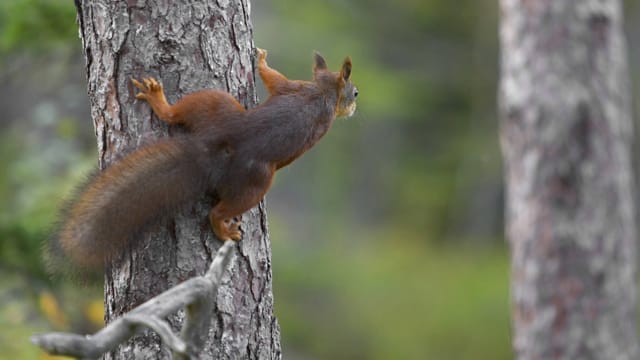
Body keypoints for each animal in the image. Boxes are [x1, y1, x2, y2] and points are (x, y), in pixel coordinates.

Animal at [48, 49, 360, 270]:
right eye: (355, 92)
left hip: (212, 108)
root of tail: (208, 151)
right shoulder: (297, 88)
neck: (324, 92)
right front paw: (261, 59)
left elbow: (274, 80)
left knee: (174, 116)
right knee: (216, 211)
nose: (354, 108)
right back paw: (222, 229)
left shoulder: (297, 88)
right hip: (252, 174)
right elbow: (273, 77)